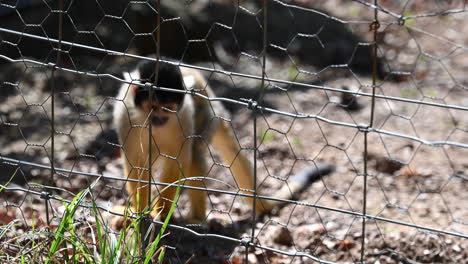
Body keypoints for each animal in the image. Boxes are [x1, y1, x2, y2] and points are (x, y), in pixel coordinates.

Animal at [112, 58, 334, 223]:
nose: (160, 119)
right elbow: (135, 163)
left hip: (207, 116)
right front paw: (139, 212)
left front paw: (160, 213)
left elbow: (177, 161)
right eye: (154, 107)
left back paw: (196, 219)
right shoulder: (125, 113)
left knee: (194, 152)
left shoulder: (183, 115)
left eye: (168, 109)